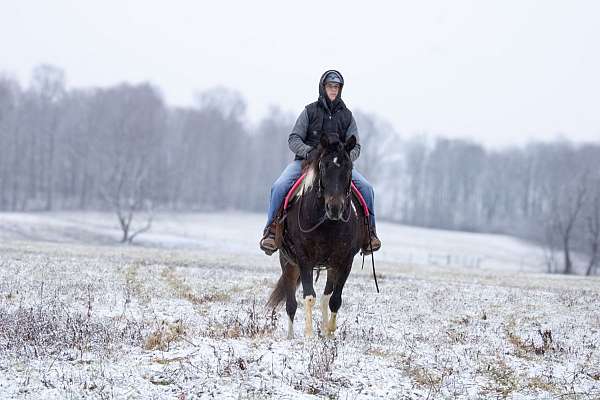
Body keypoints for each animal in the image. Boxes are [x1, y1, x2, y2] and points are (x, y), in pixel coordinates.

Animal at [268, 133, 366, 340]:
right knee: (291, 304)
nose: (335, 208)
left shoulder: (345, 261)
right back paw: (290, 337)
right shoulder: (304, 260)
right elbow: (309, 297)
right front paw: (309, 335)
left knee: (325, 297)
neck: (327, 223)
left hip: (330, 266)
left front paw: (329, 332)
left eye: (349, 167)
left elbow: (334, 299)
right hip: (288, 263)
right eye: (323, 166)